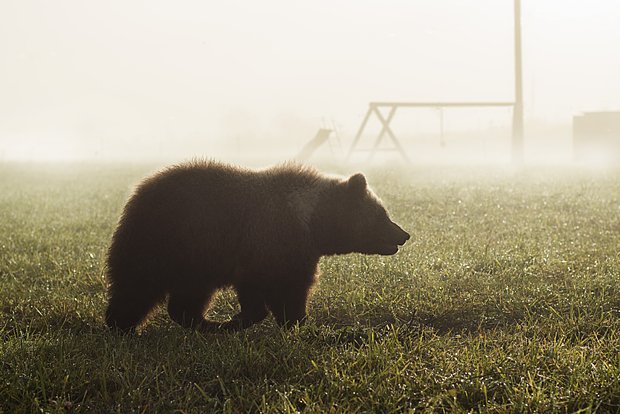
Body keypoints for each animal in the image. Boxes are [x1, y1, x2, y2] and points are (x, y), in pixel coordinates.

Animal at [104, 159, 410, 334]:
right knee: (138, 287)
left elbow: (273, 288)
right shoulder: (273, 241)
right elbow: (283, 288)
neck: (312, 222)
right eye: (382, 214)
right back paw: (124, 326)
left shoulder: (279, 252)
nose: (403, 234)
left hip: (192, 259)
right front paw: (292, 320)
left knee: (182, 297)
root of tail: (138, 193)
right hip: (169, 242)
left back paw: (201, 324)